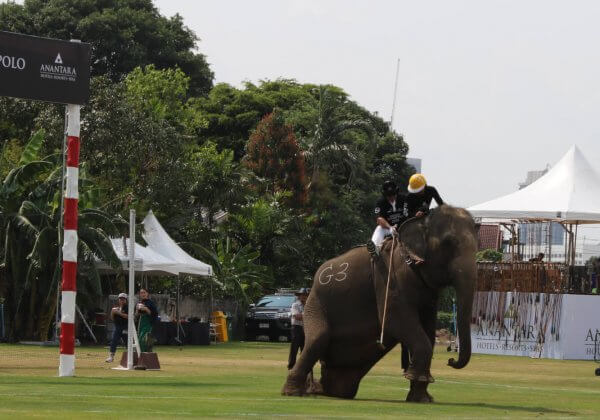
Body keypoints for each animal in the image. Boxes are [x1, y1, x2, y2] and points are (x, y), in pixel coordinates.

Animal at [282, 205, 478, 402]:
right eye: (448, 243)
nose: (450, 360)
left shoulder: (427, 293)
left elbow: (428, 328)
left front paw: (422, 399)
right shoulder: (390, 278)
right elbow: (395, 320)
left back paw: (320, 390)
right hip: (315, 303)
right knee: (318, 338)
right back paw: (293, 393)